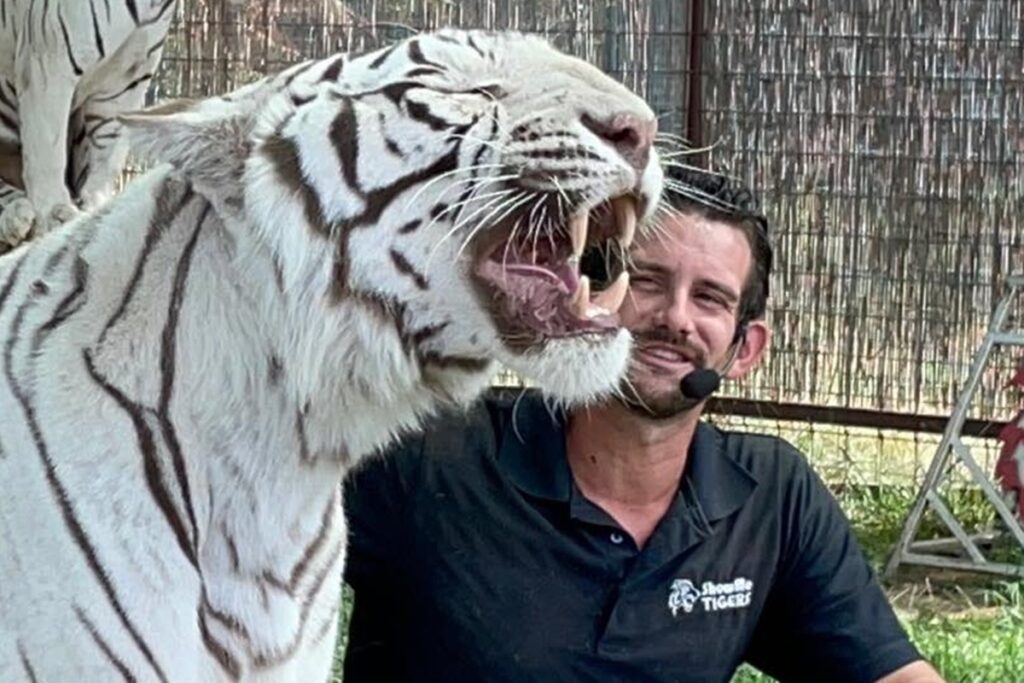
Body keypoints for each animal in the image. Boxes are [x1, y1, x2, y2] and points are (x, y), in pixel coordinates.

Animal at [0, 0, 244, 252]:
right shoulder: (48, 60)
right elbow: (47, 153)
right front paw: (52, 215)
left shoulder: (125, 83)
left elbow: (108, 156)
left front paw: (97, 205)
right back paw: (14, 217)